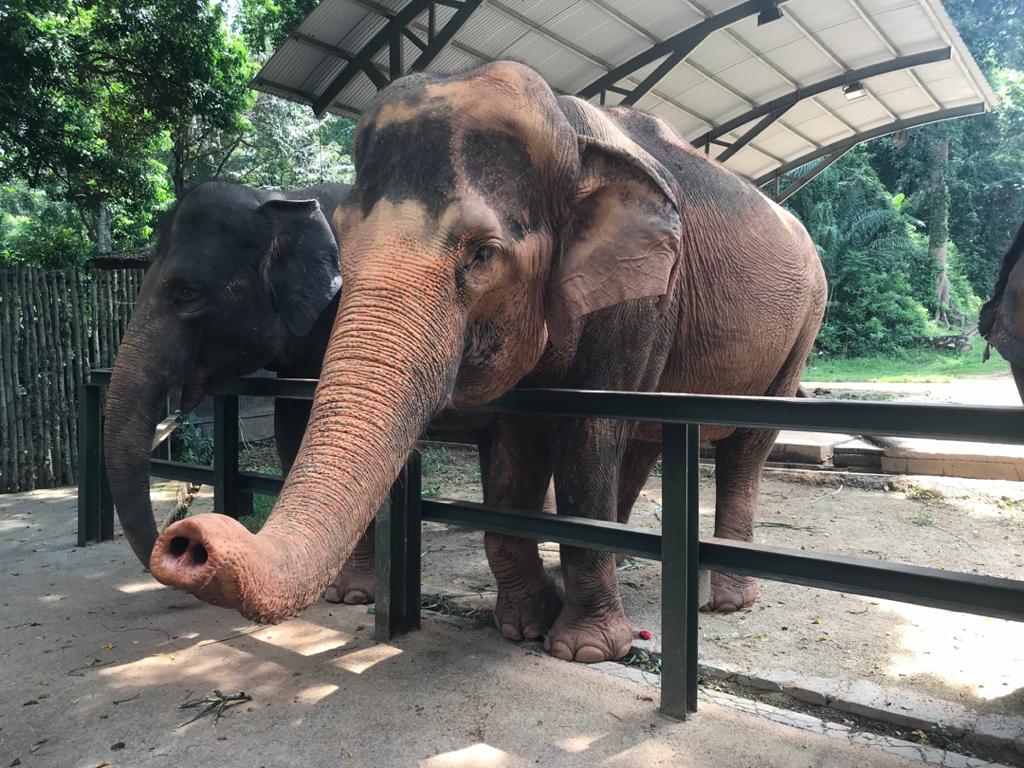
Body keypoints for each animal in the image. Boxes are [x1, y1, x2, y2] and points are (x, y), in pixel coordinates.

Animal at [149, 64, 823, 667]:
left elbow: (587, 435)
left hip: (803, 326)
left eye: (482, 255)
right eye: (344, 247)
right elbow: (514, 451)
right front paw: (525, 625)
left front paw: (582, 649)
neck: (569, 128)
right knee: (647, 439)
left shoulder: (642, 297)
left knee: (744, 446)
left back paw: (728, 601)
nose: (186, 540)